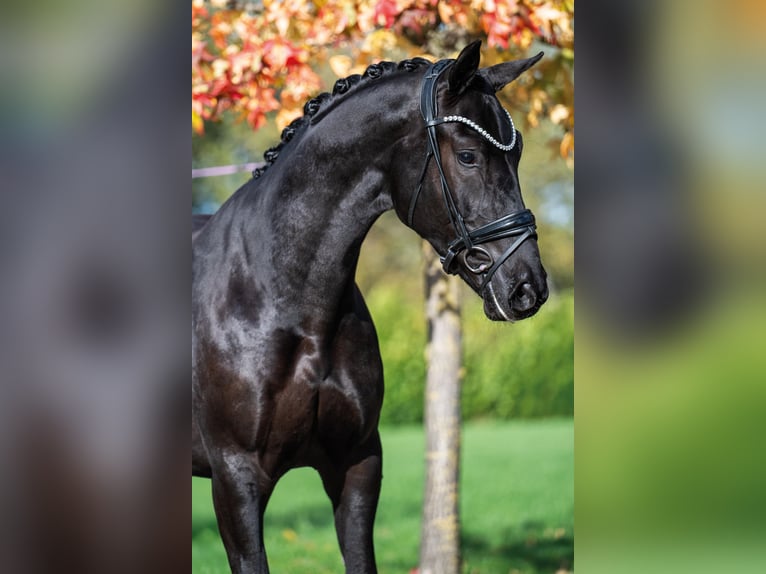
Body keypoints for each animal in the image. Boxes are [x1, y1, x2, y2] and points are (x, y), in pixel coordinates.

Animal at [192, 41, 548, 574]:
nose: (528, 287)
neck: (279, 297)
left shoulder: (357, 464)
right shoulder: (235, 479)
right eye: (468, 155)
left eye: (519, 152)